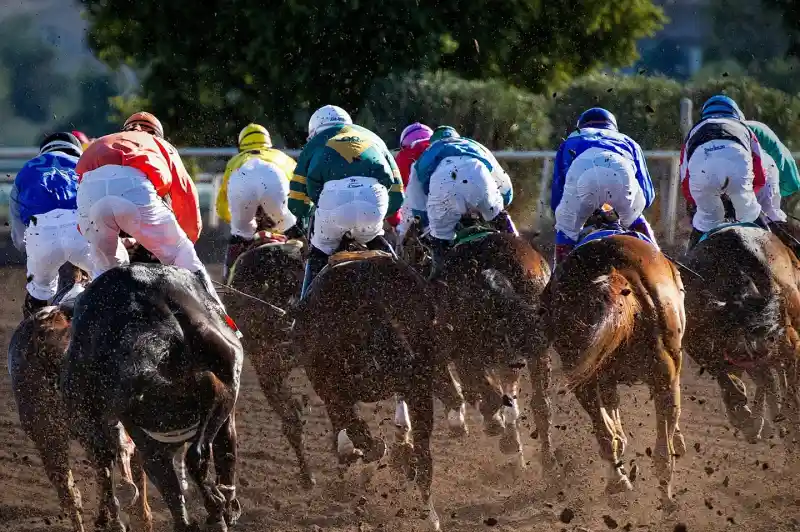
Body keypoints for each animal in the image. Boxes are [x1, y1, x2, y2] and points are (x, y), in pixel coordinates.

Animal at [542, 207, 686, 508]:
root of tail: (614, 271)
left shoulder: (603, 374)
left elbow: (612, 417)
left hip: (581, 370)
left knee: (606, 434)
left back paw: (622, 482)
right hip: (664, 372)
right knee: (661, 450)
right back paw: (658, 495)